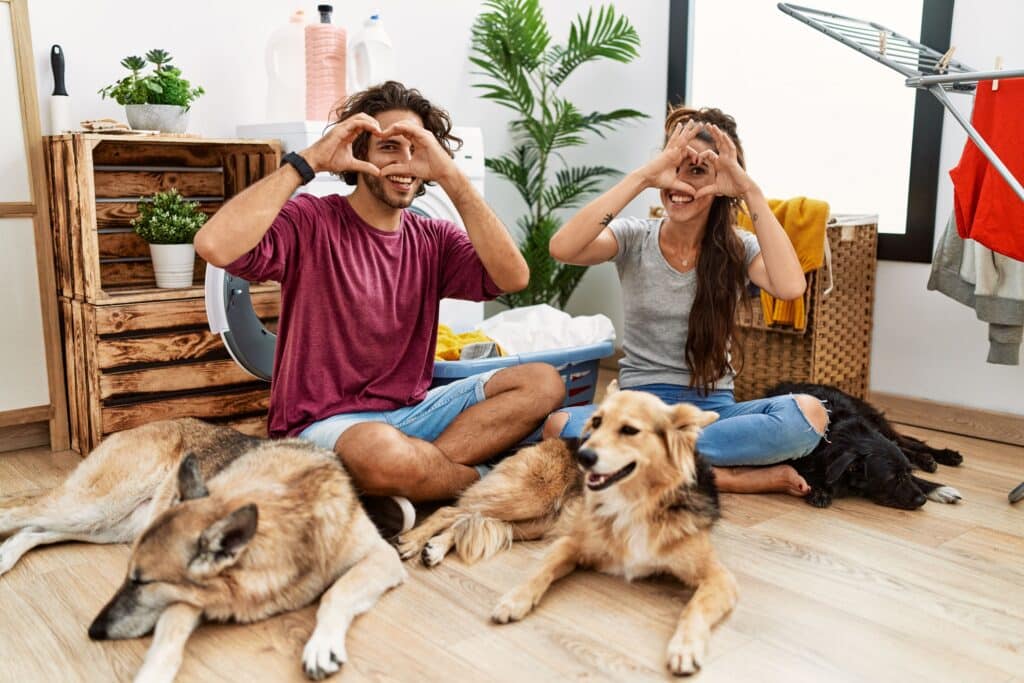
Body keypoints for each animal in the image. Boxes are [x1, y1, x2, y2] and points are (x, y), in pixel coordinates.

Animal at [1, 419, 407, 679]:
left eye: (140, 582)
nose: (94, 631)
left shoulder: (382, 558)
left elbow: (337, 593)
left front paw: (322, 644)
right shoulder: (186, 599)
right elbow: (169, 637)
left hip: (109, 526)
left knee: (36, 531)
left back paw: (7, 555)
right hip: (95, 507)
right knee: (17, 514)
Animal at [395, 387, 741, 675]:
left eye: (629, 430)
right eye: (597, 422)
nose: (584, 456)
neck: (636, 502)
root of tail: (552, 440)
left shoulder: (718, 576)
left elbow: (695, 608)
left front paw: (685, 649)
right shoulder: (571, 544)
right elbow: (538, 574)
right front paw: (513, 602)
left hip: (533, 523)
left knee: (466, 519)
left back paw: (434, 548)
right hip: (527, 498)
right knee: (453, 510)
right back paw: (413, 541)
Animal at [770, 382, 962, 509]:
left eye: (907, 473)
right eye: (891, 479)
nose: (922, 500)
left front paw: (939, 489)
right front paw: (818, 490)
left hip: (877, 423)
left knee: (908, 443)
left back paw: (942, 456)